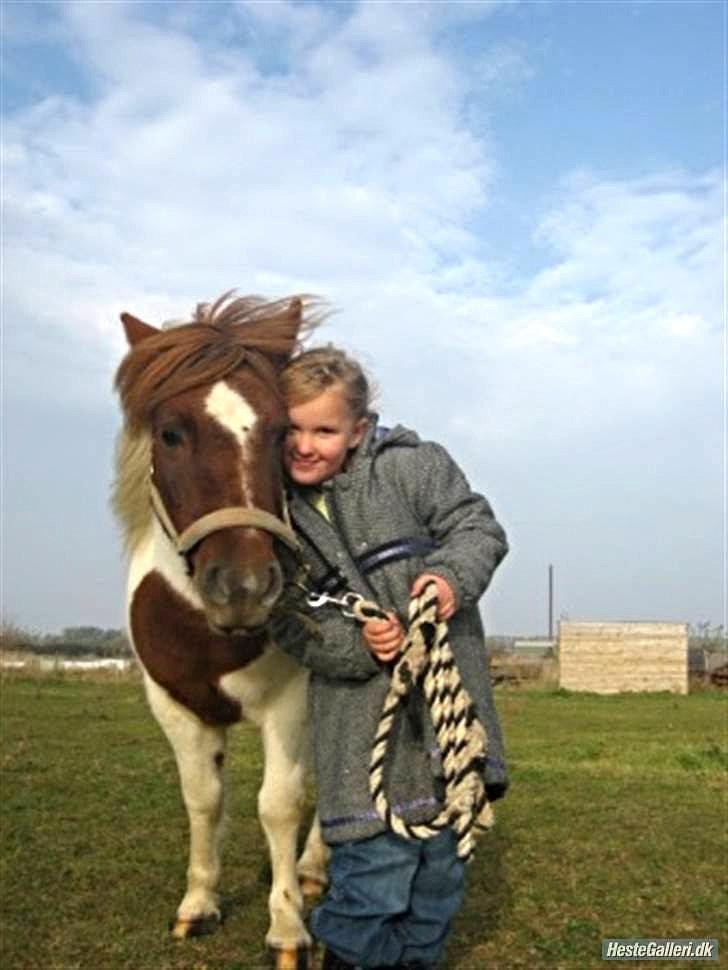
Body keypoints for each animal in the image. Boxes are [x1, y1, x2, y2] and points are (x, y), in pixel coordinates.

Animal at [110, 292, 328, 964]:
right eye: (170, 434)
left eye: (283, 431)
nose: (244, 586)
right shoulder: (177, 706)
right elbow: (204, 799)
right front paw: (199, 903)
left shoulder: (292, 703)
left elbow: (278, 805)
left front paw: (286, 926)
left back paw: (313, 869)